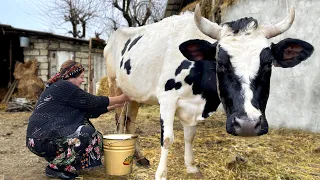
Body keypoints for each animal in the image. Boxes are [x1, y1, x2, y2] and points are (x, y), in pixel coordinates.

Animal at [104, 4, 314, 180]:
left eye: (268, 63)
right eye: (220, 62)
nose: (247, 125)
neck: (201, 94)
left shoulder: (191, 106)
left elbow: (190, 136)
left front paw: (190, 167)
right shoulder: (167, 99)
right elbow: (168, 138)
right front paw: (161, 174)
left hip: (134, 94)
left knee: (130, 123)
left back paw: (140, 158)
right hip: (115, 85)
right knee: (119, 122)